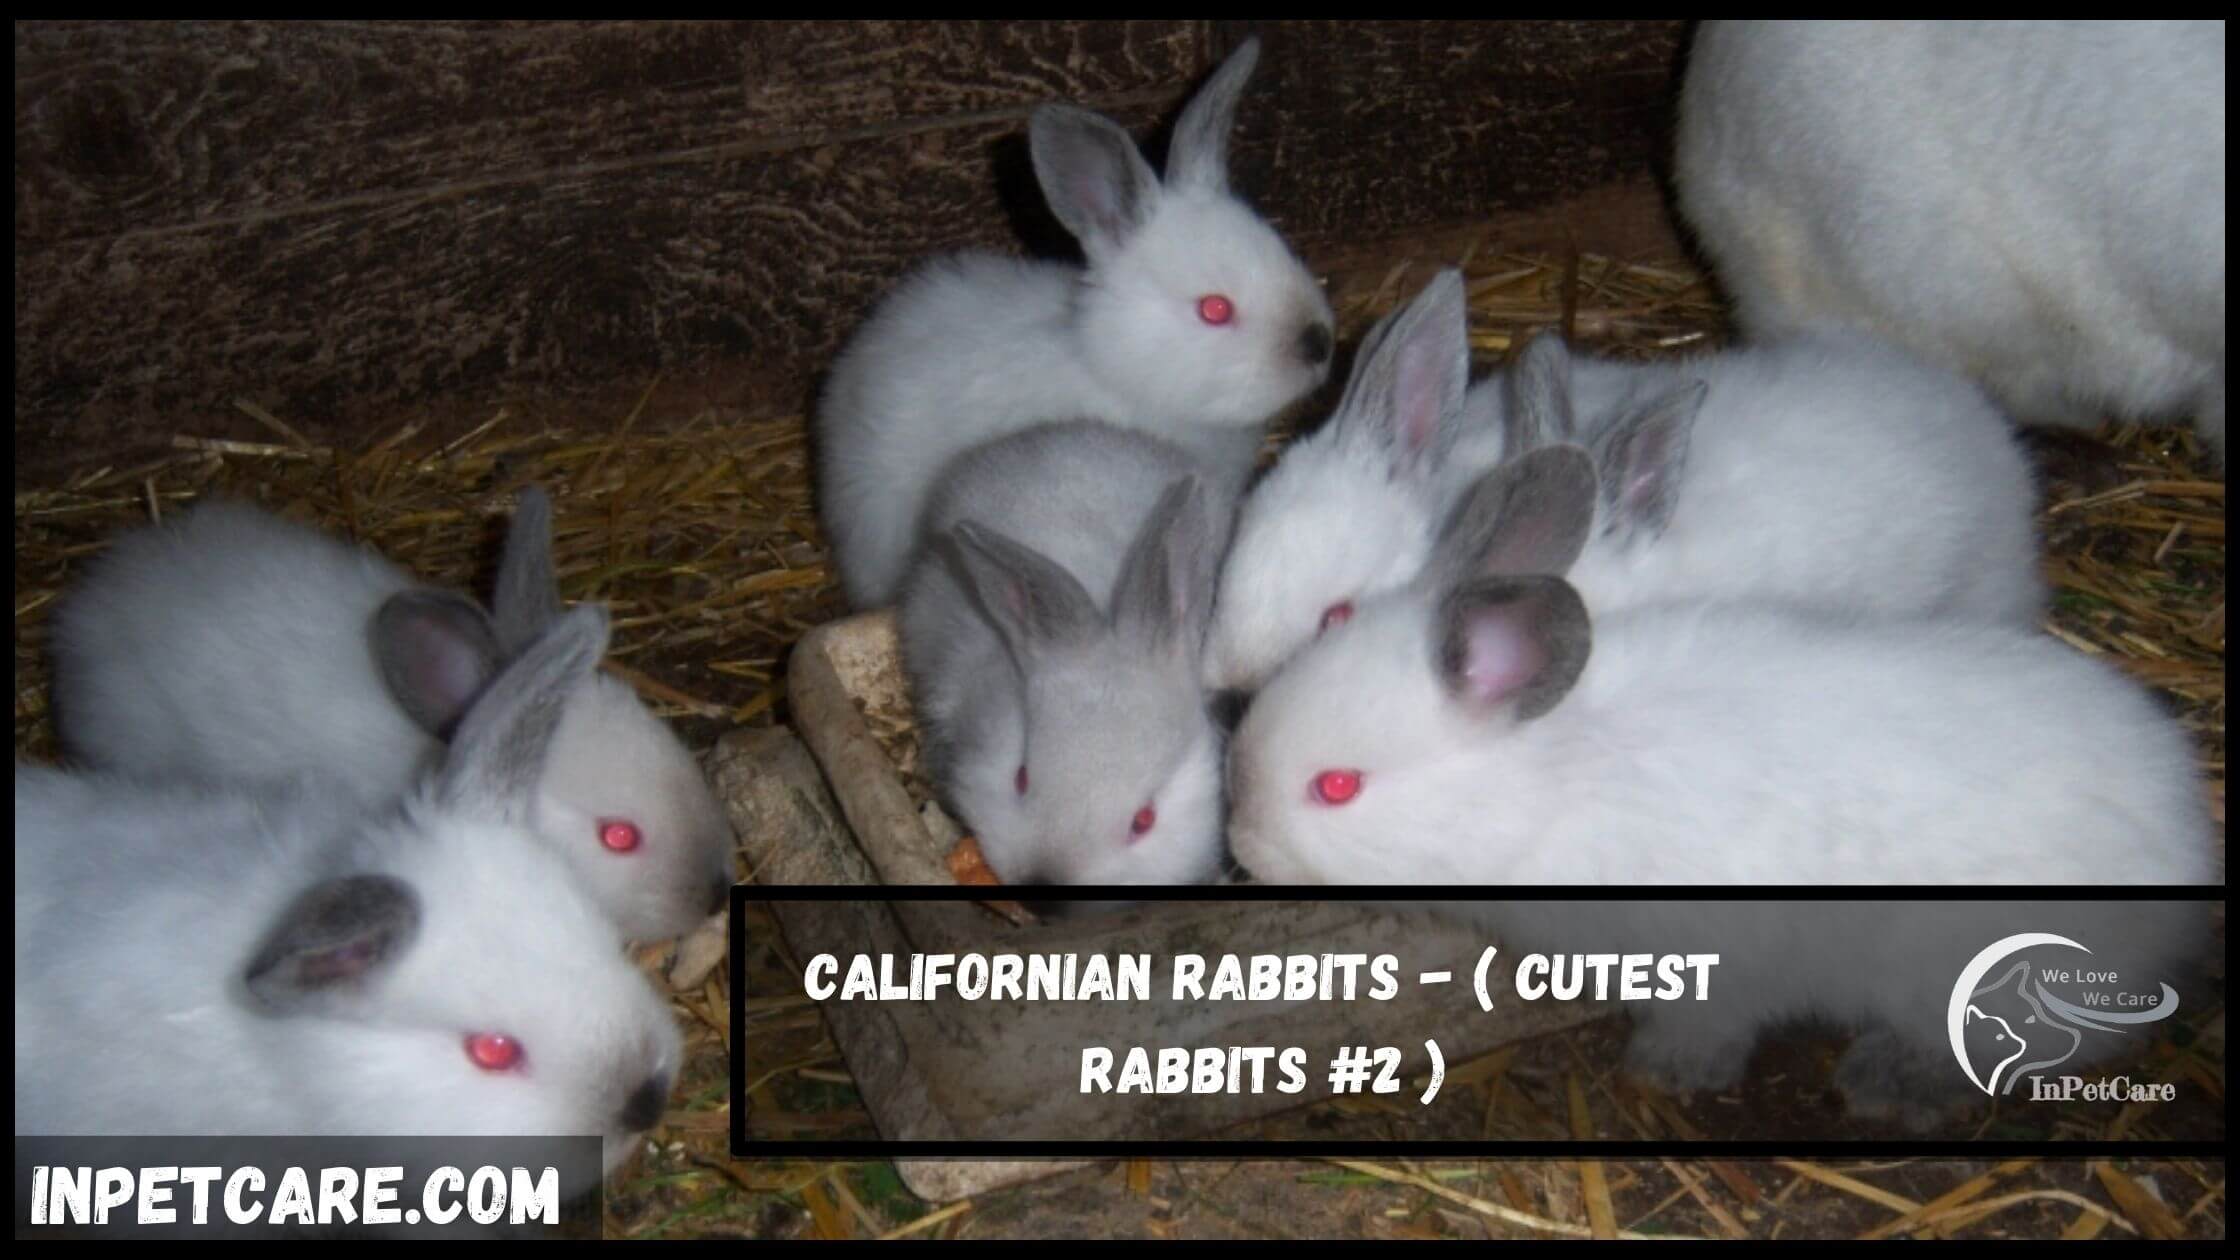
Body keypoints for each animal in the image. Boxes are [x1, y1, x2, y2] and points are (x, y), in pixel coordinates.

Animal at [1226, 443, 2217, 1119]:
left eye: (1337, 787)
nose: (1241, 845)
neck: (1557, 779)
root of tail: (2186, 840)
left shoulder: (1715, 956)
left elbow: (1715, 1022)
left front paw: (1667, 1071)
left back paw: (1887, 1080)